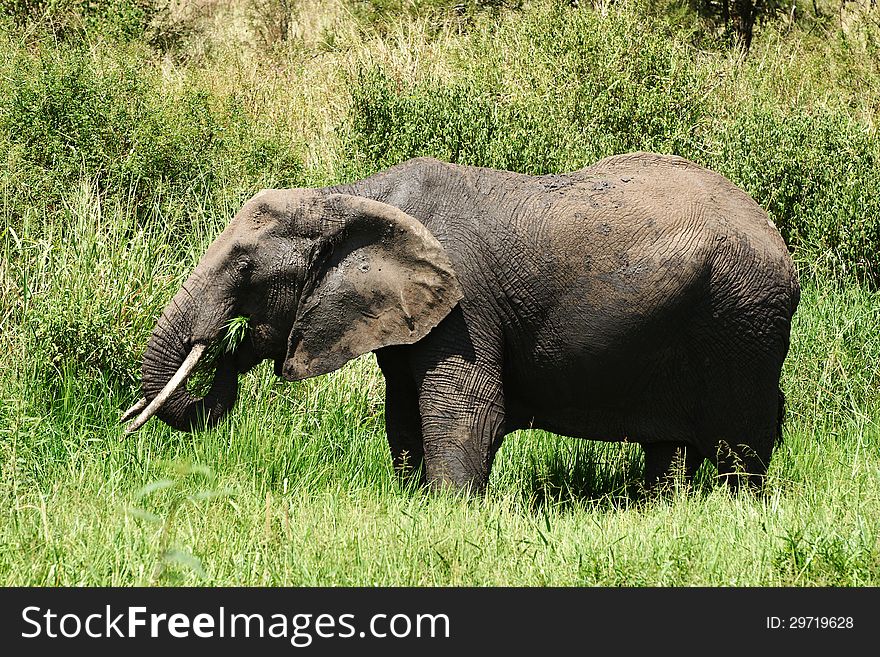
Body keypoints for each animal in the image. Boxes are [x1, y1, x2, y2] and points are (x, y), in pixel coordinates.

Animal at [120, 154, 800, 492]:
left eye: (245, 268)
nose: (227, 349)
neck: (351, 196)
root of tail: (775, 234)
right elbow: (402, 411)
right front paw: (409, 501)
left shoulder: (464, 307)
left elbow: (466, 409)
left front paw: (448, 510)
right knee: (671, 445)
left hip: (742, 318)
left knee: (741, 442)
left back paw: (740, 508)